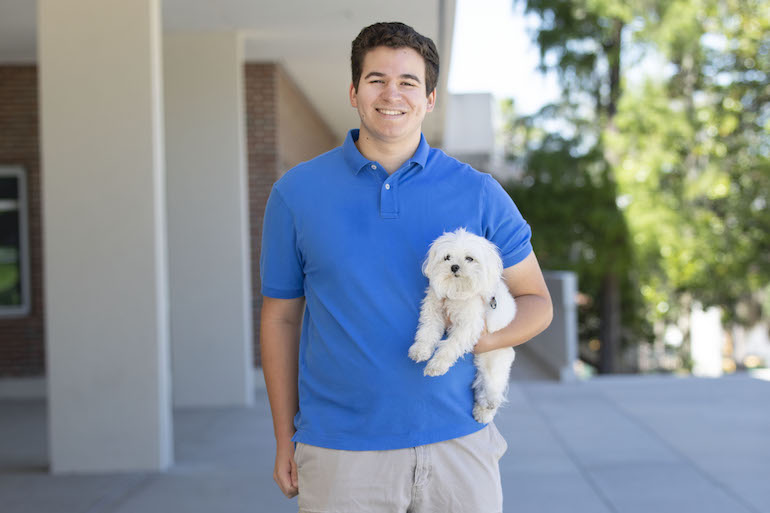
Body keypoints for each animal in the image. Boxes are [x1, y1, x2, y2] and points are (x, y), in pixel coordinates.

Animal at [408, 227, 516, 420]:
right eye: (447, 257)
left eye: (469, 259)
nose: (454, 267)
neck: (457, 290)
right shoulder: (433, 311)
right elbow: (427, 332)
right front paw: (420, 350)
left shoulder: (469, 325)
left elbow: (450, 346)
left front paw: (437, 365)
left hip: (494, 362)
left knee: (493, 389)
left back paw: (487, 409)